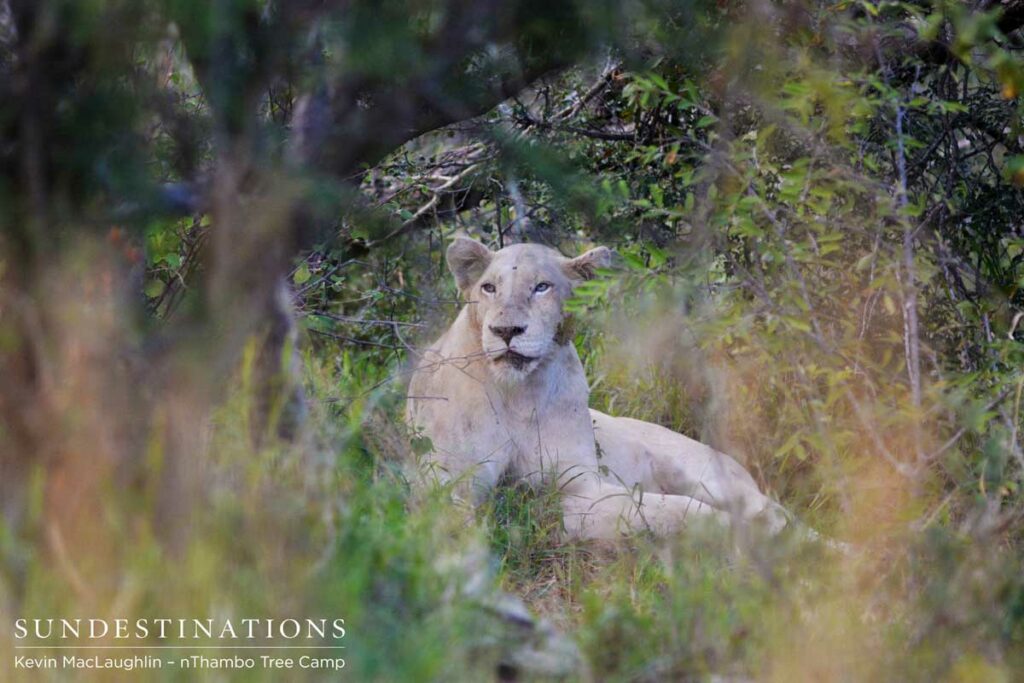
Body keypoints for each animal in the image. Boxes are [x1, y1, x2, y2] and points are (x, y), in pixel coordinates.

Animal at [406, 237, 790, 540]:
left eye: (541, 287)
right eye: (489, 288)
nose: (505, 330)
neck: (518, 393)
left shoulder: (579, 486)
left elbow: (673, 509)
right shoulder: (447, 484)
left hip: (708, 473)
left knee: (774, 510)